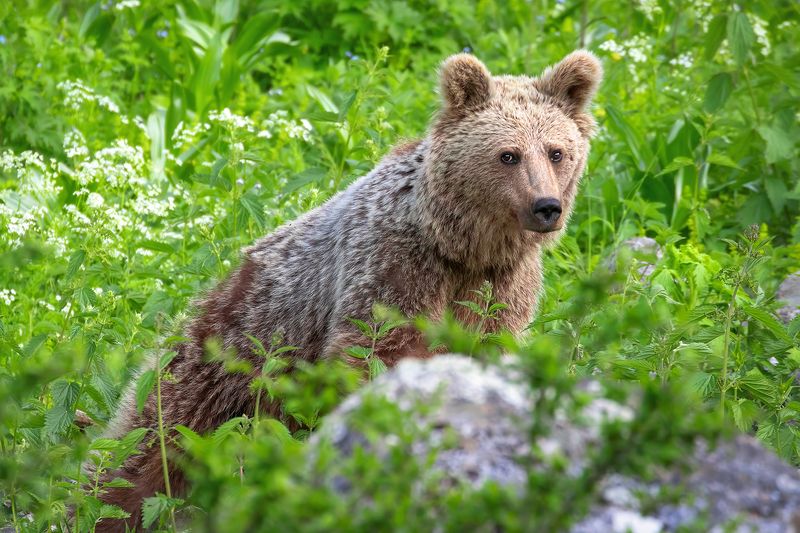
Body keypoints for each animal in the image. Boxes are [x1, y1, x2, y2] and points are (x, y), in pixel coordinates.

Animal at [92, 50, 602, 531]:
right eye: (508, 154)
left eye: (556, 151)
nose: (546, 207)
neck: (457, 246)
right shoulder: (392, 266)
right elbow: (376, 351)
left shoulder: (502, 287)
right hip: (222, 360)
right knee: (143, 455)